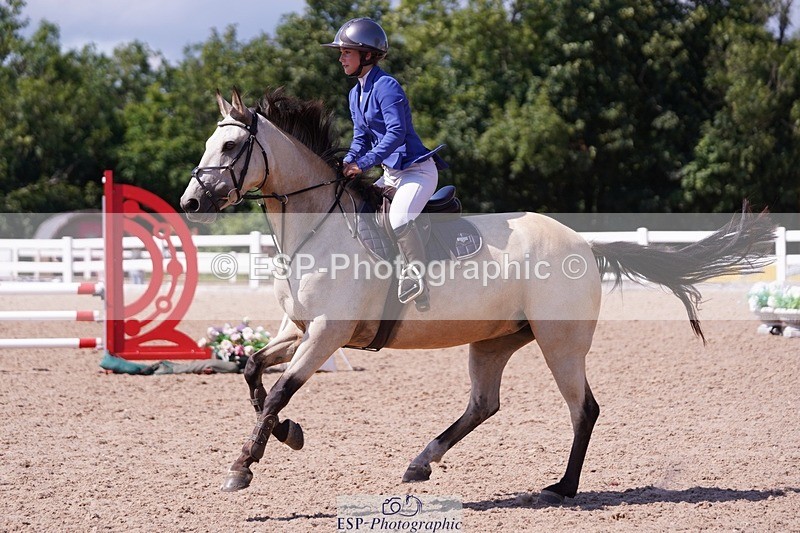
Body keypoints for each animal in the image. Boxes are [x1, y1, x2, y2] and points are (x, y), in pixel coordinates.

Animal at [180, 88, 774, 504]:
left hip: (561, 345)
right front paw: (287, 434)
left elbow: (279, 391)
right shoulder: (298, 330)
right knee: (484, 403)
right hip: (495, 342)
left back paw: (561, 488)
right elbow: (253, 372)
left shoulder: (327, 333)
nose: (190, 201)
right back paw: (422, 461)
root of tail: (584, 242)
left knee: (583, 410)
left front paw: (243, 465)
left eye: (230, 145)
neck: (317, 227)